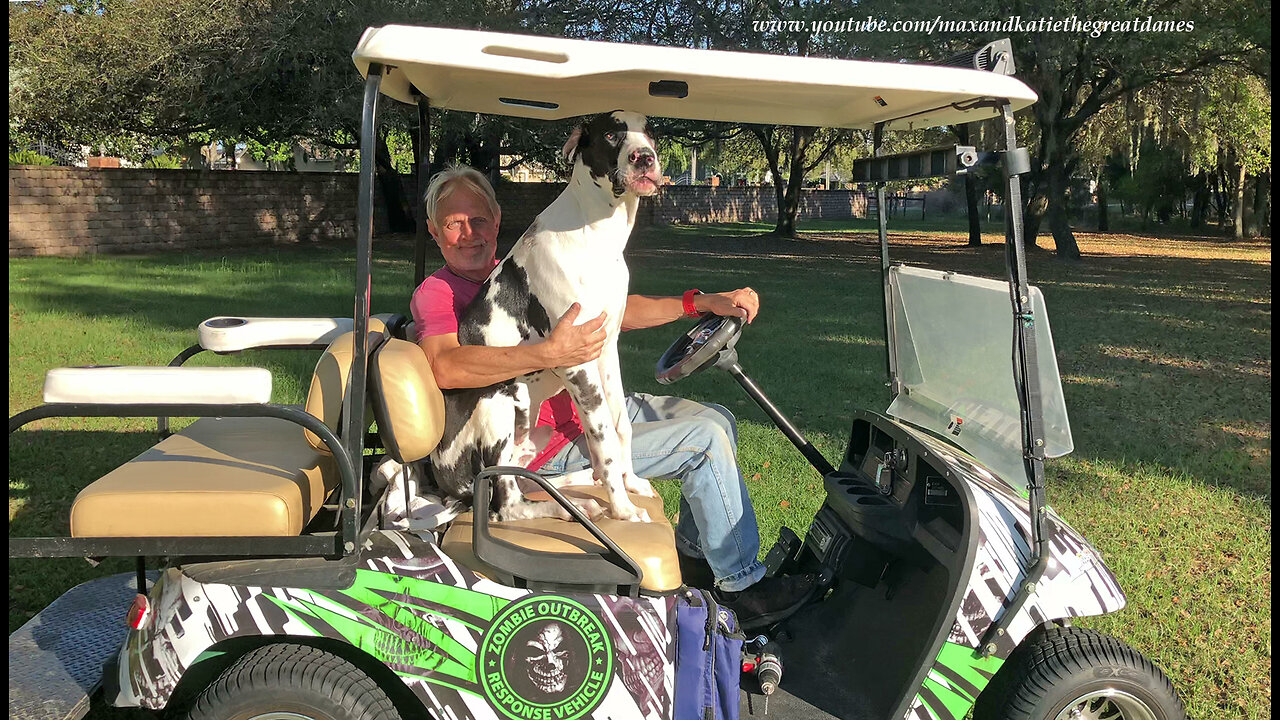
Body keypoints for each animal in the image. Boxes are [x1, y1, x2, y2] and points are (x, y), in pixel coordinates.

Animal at [435, 109, 665, 517]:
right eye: (611, 134)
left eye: (649, 132)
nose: (645, 158)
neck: (596, 235)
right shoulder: (577, 362)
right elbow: (603, 437)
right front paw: (622, 509)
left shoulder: (606, 349)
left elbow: (620, 425)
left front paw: (631, 484)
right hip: (496, 405)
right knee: (509, 502)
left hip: (530, 437)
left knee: (531, 481)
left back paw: (578, 490)